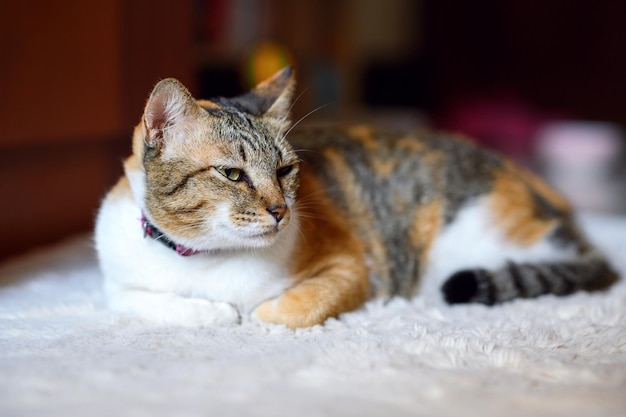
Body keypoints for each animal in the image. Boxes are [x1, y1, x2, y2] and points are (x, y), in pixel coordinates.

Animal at [95, 66, 616, 328]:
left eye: (285, 170)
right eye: (232, 174)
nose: (281, 212)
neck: (207, 259)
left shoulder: (352, 267)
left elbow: (291, 308)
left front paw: (256, 313)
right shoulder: (117, 282)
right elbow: (146, 301)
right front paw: (212, 312)